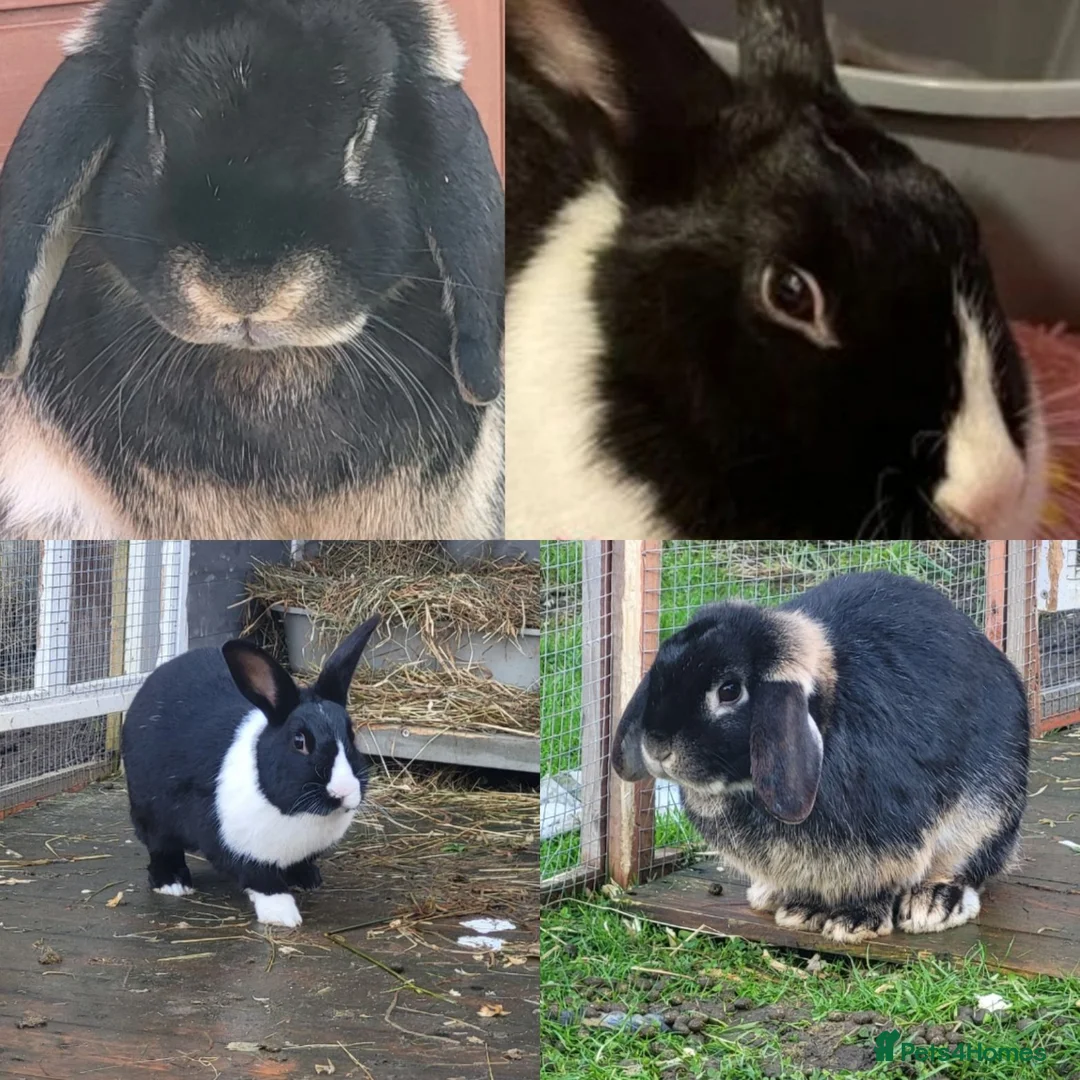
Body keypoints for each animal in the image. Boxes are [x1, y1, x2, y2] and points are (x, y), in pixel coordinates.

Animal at [120, 614, 380, 928]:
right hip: (150, 810)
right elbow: (261, 879)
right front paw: (283, 915)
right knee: (160, 846)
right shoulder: (235, 845)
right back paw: (172, 883)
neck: (296, 812)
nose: (344, 791)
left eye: (351, 736)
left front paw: (306, 880)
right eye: (300, 742)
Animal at [613, 571, 1030, 944]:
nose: (657, 746)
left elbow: (877, 883)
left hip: (987, 814)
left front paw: (854, 922)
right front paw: (803, 911)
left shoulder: (888, 843)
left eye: (729, 691)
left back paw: (934, 903)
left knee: (967, 866)